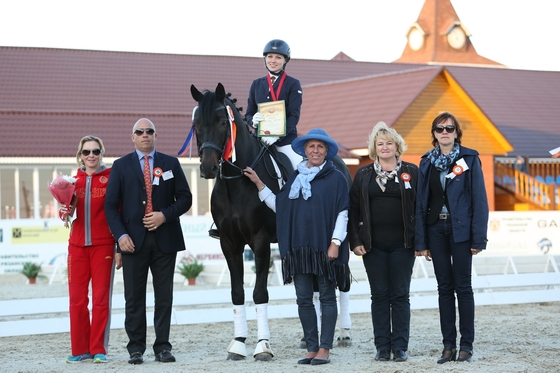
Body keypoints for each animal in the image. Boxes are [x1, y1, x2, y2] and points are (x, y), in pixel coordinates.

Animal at [190, 82, 284, 360]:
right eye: (196, 124)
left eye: (223, 122)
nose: (208, 168)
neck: (237, 181)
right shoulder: (229, 243)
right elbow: (237, 292)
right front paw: (238, 343)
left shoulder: (261, 241)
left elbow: (260, 293)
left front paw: (263, 345)